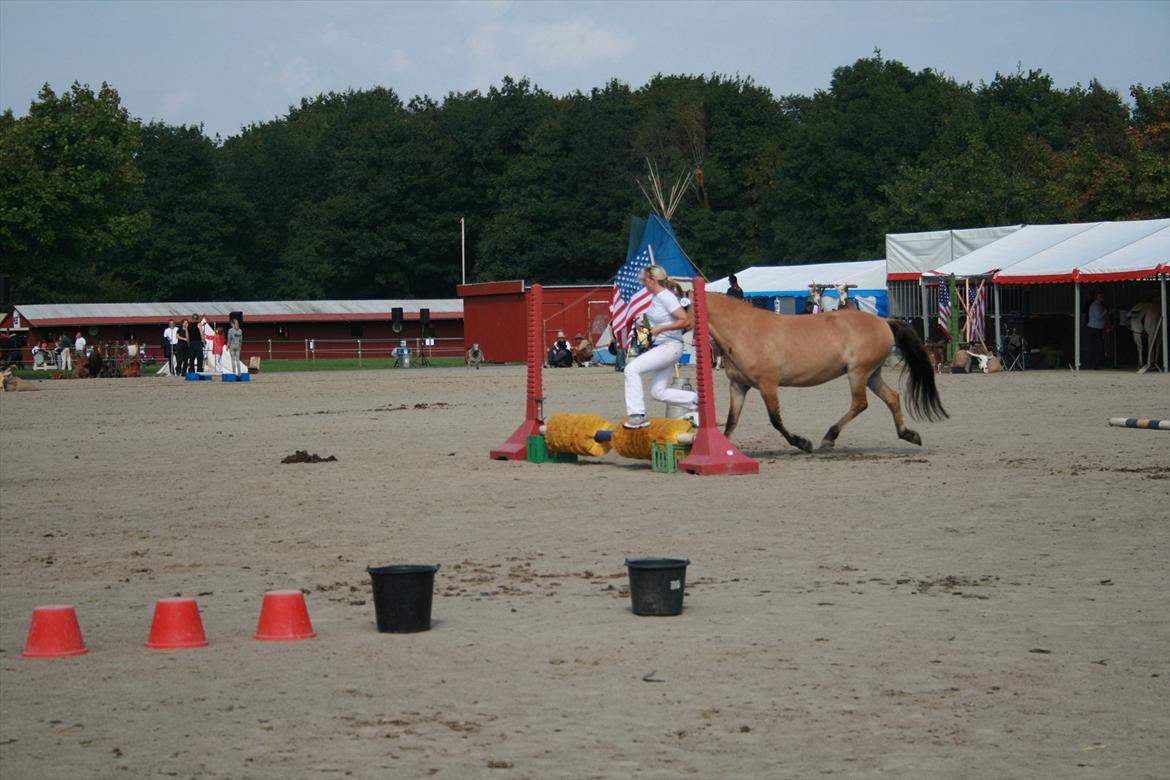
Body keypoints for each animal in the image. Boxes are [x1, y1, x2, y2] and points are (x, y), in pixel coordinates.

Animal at [697, 292, 945, 451]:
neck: (745, 331)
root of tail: (883, 321)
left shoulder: (768, 384)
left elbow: (776, 420)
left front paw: (802, 443)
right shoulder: (739, 386)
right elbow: (732, 421)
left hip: (858, 373)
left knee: (860, 403)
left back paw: (829, 438)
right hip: (872, 375)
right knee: (892, 398)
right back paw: (908, 434)